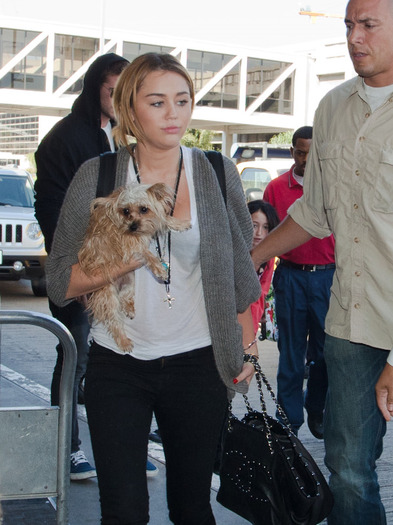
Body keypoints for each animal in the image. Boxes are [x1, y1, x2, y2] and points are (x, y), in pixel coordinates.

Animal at [78, 181, 190, 352]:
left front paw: (180, 223)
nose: (132, 226)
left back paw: (129, 308)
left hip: (130, 279)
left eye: (144, 209)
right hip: (107, 295)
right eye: (126, 211)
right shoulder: (129, 245)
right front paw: (158, 268)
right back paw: (123, 341)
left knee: (125, 295)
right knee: (114, 320)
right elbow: (146, 253)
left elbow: (163, 218)